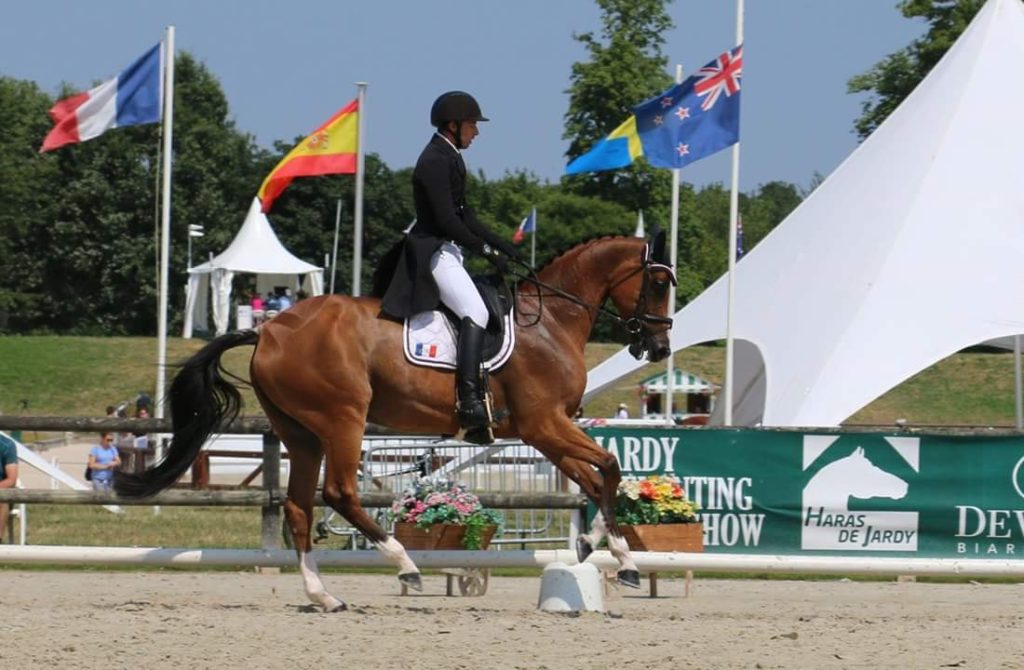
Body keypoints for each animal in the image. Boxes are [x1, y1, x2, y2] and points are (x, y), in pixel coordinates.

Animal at [116, 231, 675, 614]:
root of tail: (269, 329)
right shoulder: (544, 425)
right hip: (343, 418)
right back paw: (405, 566)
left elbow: (596, 479)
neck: (553, 320)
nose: (659, 348)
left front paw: (601, 549)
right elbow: (610, 466)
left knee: (298, 507)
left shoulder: (544, 431)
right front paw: (618, 557)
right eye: (658, 282)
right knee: (340, 493)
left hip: (301, 433)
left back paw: (323, 596)